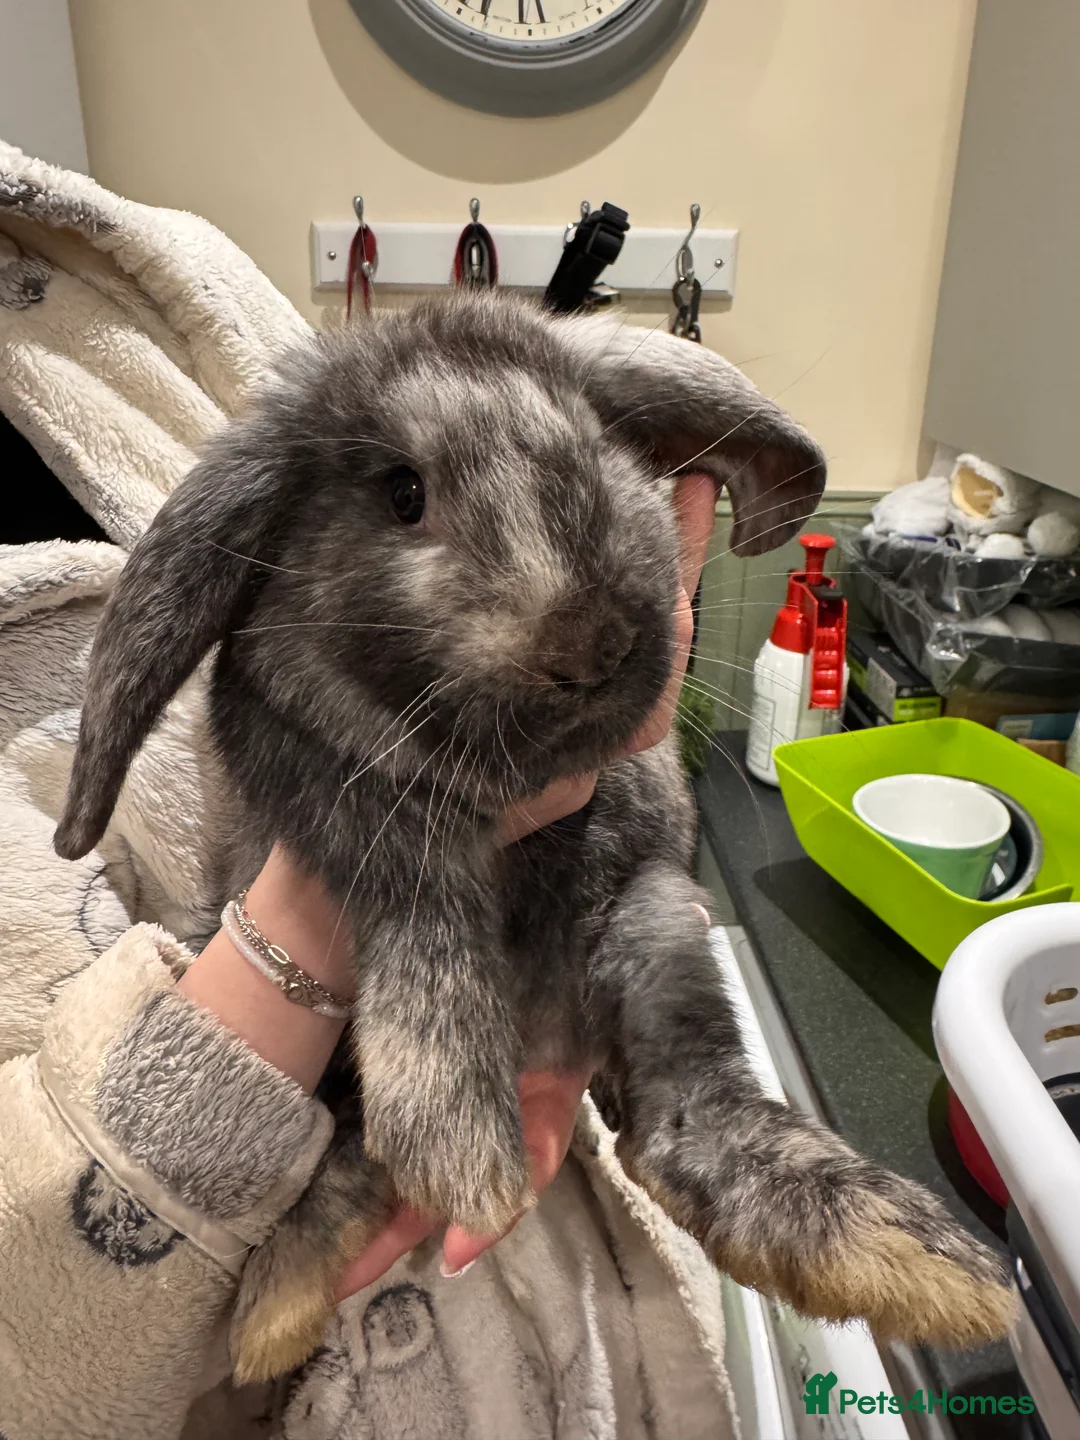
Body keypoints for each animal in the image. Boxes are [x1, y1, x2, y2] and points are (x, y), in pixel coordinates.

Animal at [54, 290, 1013, 1382]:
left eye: (596, 452)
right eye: (402, 492)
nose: (592, 644)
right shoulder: (325, 778)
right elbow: (421, 896)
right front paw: (459, 1142)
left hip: (655, 923)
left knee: (681, 1128)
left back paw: (919, 1260)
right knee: (352, 1150)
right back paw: (282, 1305)